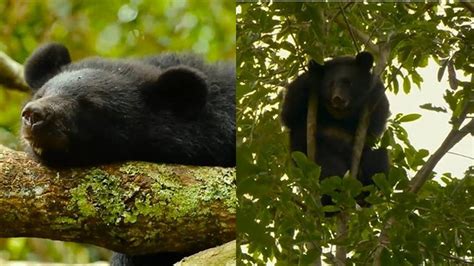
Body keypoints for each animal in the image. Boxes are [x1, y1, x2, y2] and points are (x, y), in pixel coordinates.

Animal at [282, 52, 388, 212]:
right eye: (330, 84)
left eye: (348, 83)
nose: (338, 99)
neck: (338, 114)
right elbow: (289, 113)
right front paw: (313, 69)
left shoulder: (376, 96)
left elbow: (377, 122)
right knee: (331, 169)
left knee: (379, 158)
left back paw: (365, 194)